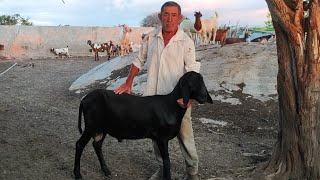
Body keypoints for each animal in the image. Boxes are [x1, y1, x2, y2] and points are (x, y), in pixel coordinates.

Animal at [72, 71, 212, 180]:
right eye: (190, 84)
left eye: (202, 82)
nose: (204, 97)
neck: (171, 106)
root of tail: (84, 99)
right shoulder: (161, 138)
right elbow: (167, 161)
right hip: (91, 126)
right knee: (79, 144)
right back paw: (77, 174)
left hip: (102, 128)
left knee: (97, 145)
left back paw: (106, 170)